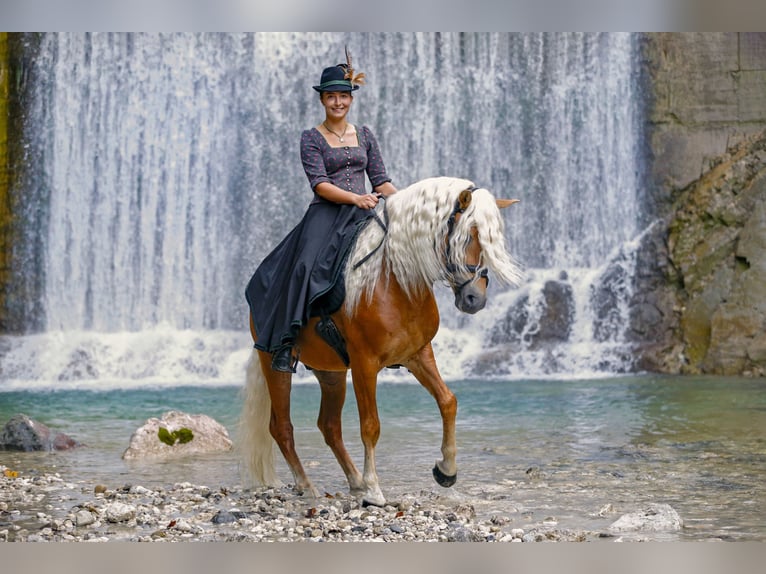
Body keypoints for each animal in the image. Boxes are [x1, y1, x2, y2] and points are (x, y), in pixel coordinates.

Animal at [243, 177, 524, 508]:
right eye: (468, 235)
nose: (474, 299)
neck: (394, 280)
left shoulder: (418, 354)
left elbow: (448, 401)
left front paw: (446, 470)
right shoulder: (365, 364)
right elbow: (371, 425)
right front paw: (374, 490)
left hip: (331, 373)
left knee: (329, 426)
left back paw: (353, 480)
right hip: (274, 365)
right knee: (282, 427)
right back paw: (307, 485)